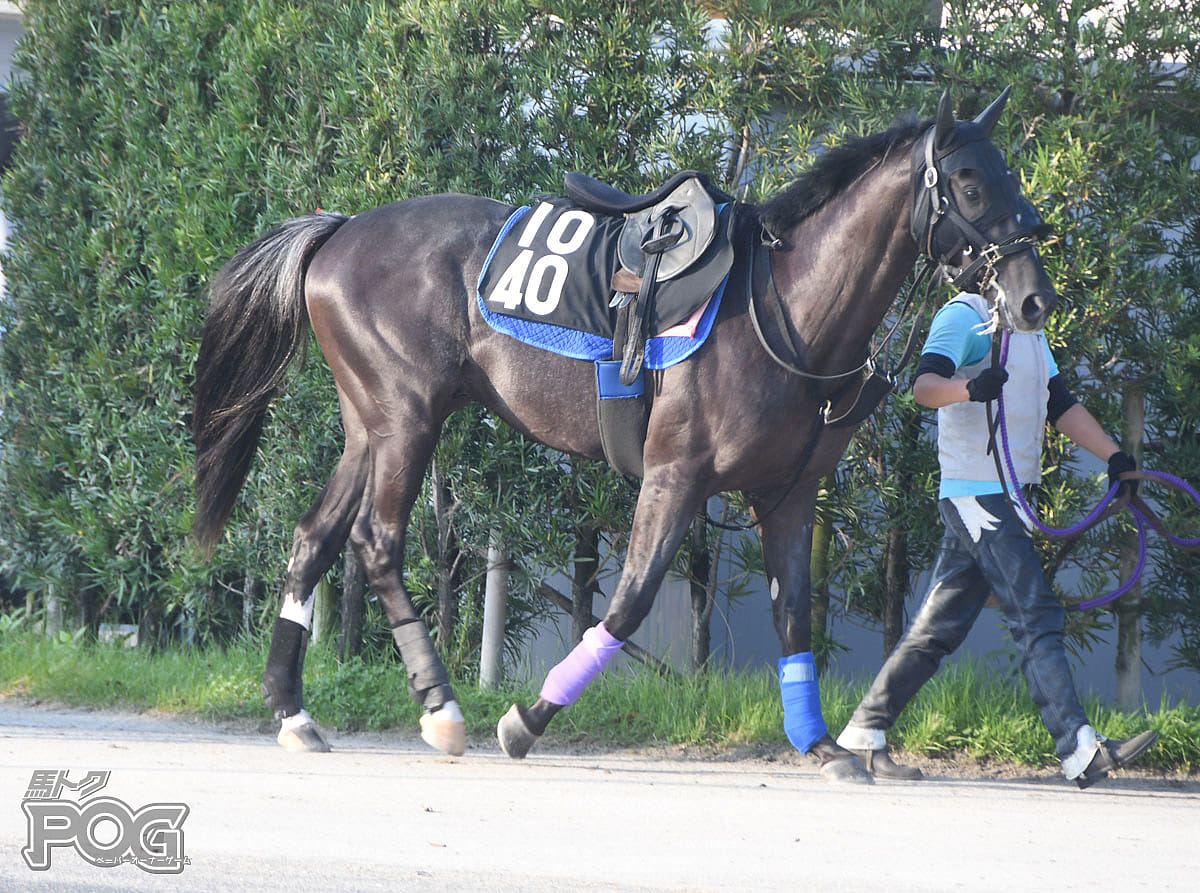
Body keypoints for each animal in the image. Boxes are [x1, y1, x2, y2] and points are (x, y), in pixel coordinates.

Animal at [192, 87, 1056, 777]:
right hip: (409, 415)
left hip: (368, 424)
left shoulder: (787, 492)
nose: (1033, 297)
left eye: (1012, 175)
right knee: (377, 540)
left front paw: (821, 743)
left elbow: (793, 613)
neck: (785, 308)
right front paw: (525, 719)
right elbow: (631, 601)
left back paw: (294, 712)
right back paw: (441, 708)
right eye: (969, 182)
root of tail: (337, 231)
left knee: (313, 537)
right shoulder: (676, 473)